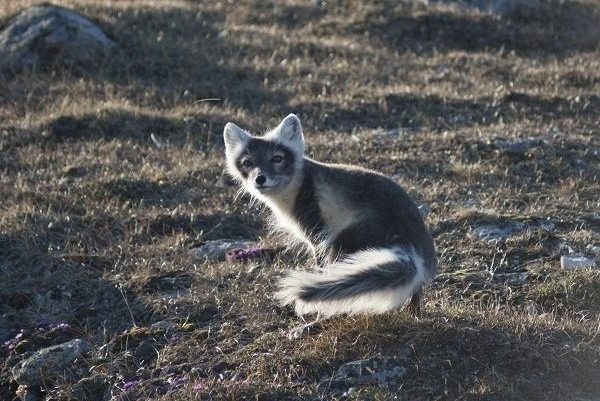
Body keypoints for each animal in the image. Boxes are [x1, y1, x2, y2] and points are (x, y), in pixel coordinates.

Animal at [224, 114, 436, 318]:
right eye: (247, 163)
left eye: (277, 158)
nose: (260, 179)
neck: (298, 184)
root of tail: (415, 247)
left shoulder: (317, 233)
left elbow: (320, 266)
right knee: (416, 291)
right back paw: (414, 315)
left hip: (344, 239)